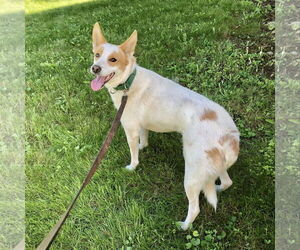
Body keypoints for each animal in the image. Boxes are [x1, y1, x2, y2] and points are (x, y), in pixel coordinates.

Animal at [90, 23, 240, 230]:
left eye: (113, 59)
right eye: (97, 55)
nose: (95, 68)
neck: (128, 81)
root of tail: (231, 136)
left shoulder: (130, 129)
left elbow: (133, 153)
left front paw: (132, 166)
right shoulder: (141, 126)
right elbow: (144, 139)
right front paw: (143, 146)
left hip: (192, 174)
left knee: (195, 208)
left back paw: (184, 226)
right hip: (214, 167)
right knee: (226, 182)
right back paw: (217, 188)